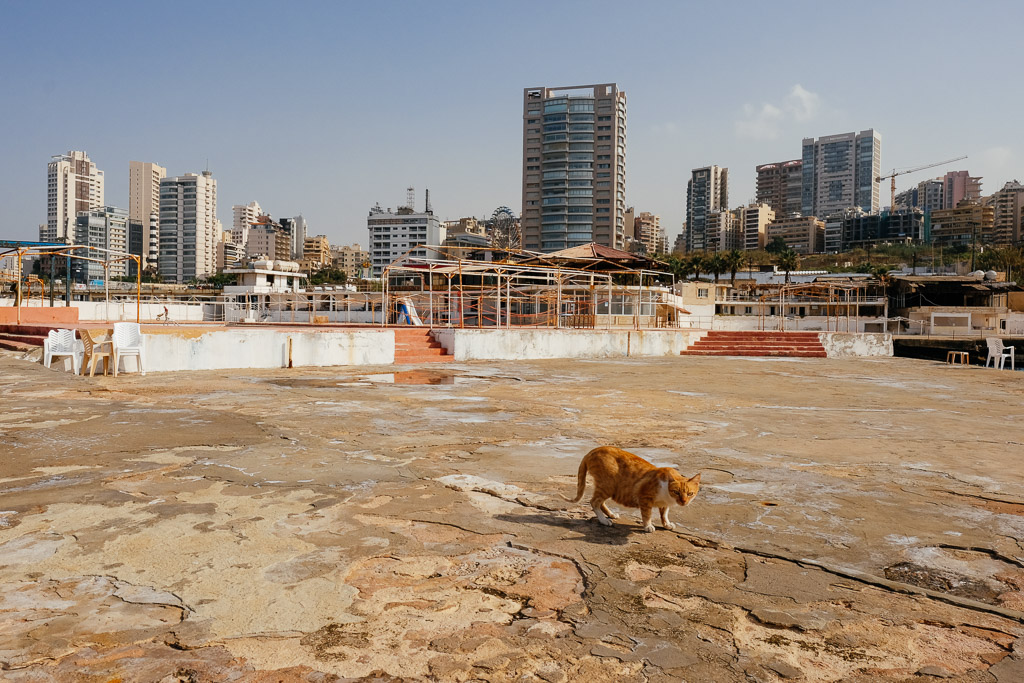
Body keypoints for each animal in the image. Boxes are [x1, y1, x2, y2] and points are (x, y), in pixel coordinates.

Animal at [565, 448, 700, 532]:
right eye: (676, 492)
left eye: (690, 493)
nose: (683, 501)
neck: (667, 495)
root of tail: (592, 451)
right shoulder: (644, 498)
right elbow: (647, 514)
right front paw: (648, 526)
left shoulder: (664, 504)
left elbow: (664, 514)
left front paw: (666, 524)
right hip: (608, 486)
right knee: (594, 502)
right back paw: (604, 520)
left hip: (607, 488)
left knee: (600, 502)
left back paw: (611, 515)